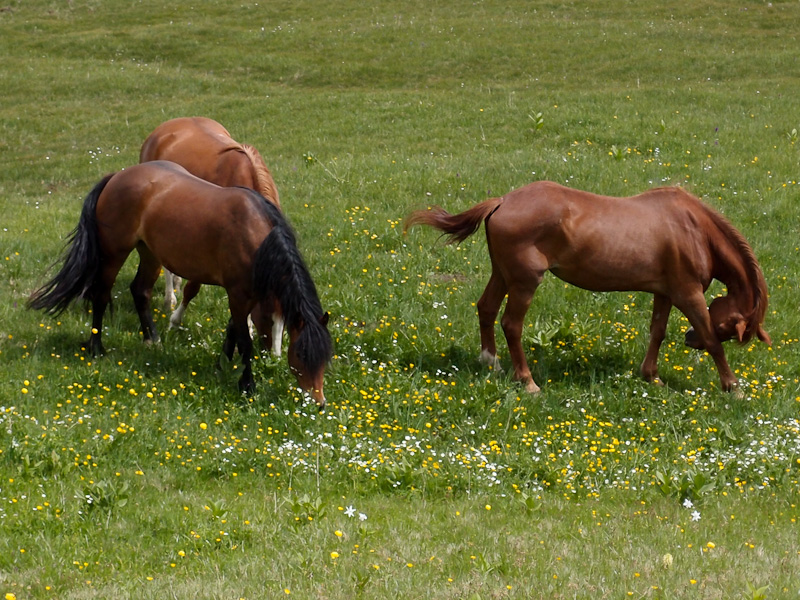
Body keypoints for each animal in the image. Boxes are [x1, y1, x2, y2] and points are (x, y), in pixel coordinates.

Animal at [28, 162, 332, 406]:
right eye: (302, 355)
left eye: (325, 359)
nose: (318, 403)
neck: (255, 236)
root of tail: (117, 176)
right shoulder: (238, 294)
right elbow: (244, 341)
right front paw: (247, 386)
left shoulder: (245, 295)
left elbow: (232, 331)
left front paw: (222, 365)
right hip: (114, 253)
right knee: (101, 295)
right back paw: (96, 347)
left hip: (149, 253)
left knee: (140, 291)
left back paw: (152, 339)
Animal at [410, 180, 772, 392]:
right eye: (727, 328)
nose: (688, 339)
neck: (693, 227)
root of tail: (502, 201)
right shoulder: (688, 293)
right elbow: (713, 343)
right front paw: (732, 386)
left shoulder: (664, 292)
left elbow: (657, 332)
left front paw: (651, 376)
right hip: (525, 281)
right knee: (511, 324)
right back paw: (527, 381)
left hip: (502, 274)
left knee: (485, 309)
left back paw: (492, 363)